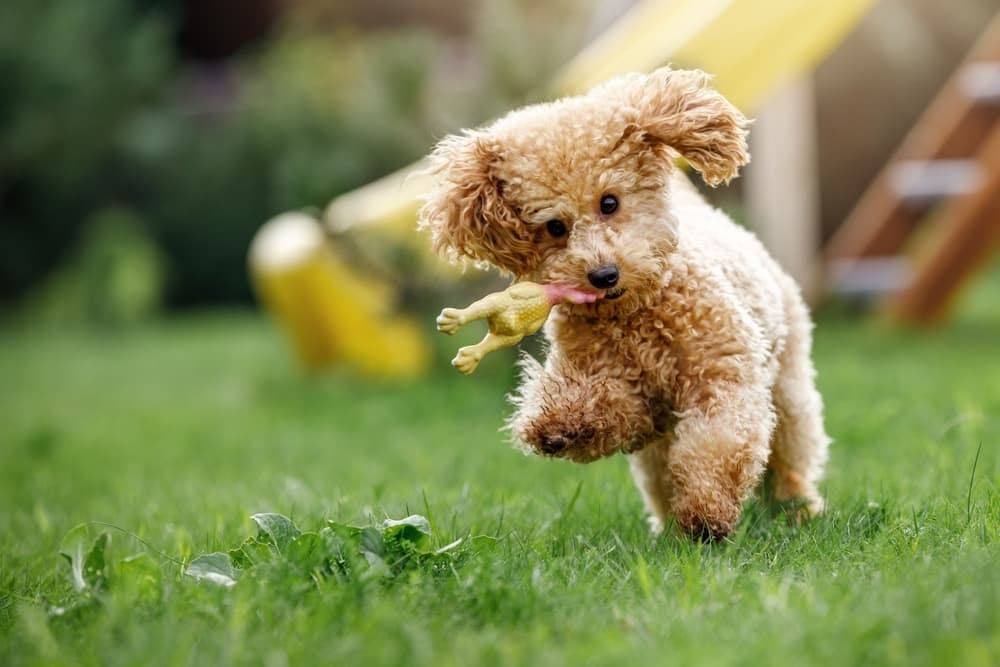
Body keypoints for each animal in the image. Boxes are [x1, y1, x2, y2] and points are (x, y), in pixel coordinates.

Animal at [418, 65, 832, 540]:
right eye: (555, 227)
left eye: (609, 202)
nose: (603, 275)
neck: (634, 315)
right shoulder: (627, 396)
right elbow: (609, 409)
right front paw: (558, 426)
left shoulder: (722, 376)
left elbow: (718, 441)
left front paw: (706, 512)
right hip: (661, 447)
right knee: (662, 474)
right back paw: (669, 525)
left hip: (788, 386)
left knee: (789, 453)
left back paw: (796, 507)